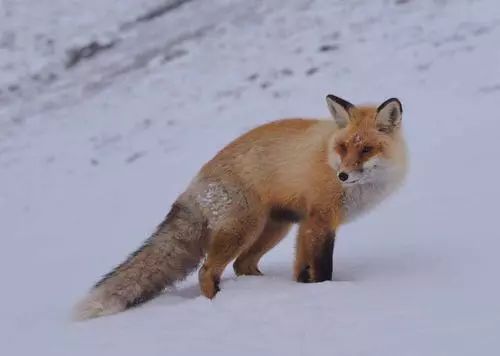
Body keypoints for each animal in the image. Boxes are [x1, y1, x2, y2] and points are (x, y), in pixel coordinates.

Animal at [75, 94, 410, 320]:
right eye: (343, 148)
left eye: (366, 149)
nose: (342, 175)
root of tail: (194, 183)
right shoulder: (320, 221)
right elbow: (322, 269)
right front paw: (325, 293)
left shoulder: (306, 224)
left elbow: (301, 268)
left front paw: (301, 291)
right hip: (243, 229)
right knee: (208, 270)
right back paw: (218, 302)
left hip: (274, 228)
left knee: (242, 265)